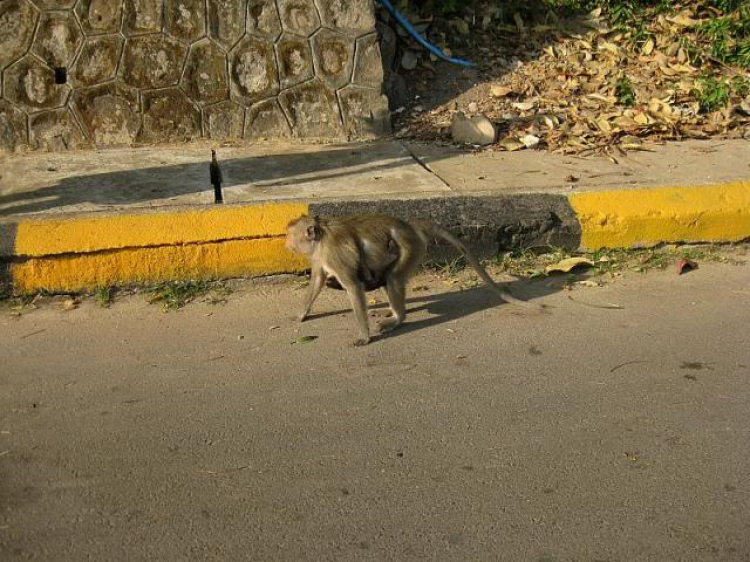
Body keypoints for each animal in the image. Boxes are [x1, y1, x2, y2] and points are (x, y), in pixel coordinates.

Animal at [284, 213, 540, 346]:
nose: (285, 242)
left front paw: (364, 337)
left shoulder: (334, 254)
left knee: (393, 279)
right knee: (388, 277)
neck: (321, 237)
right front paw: (301, 315)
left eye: (288, 234)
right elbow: (317, 282)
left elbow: (354, 286)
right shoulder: (320, 256)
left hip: (411, 248)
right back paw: (393, 312)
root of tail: (410, 226)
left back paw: (399, 318)